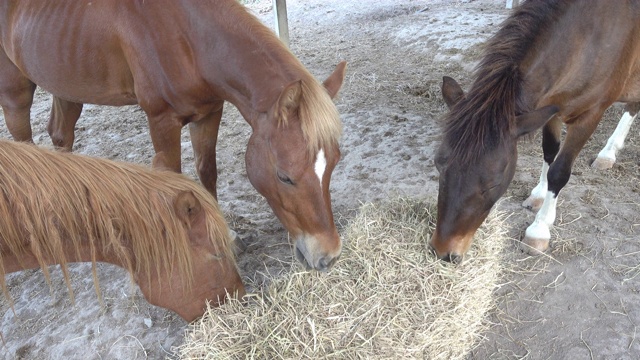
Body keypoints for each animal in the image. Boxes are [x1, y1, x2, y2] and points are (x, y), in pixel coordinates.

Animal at [0, 0, 344, 270]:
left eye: (334, 164)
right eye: (285, 176)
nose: (328, 256)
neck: (186, 36)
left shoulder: (207, 113)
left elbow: (207, 172)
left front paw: (226, 236)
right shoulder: (162, 121)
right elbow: (173, 178)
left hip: (66, 82)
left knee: (61, 136)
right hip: (16, 91)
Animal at [430, 0, 640, 264]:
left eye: (492, 184)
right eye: (438, 165)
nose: (444, 251)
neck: (589, 37)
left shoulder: (590, 115)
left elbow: (559, 172)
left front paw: (539, 230)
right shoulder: (552, 106)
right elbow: (549, 152)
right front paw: (539, 194)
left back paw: (607, 153)